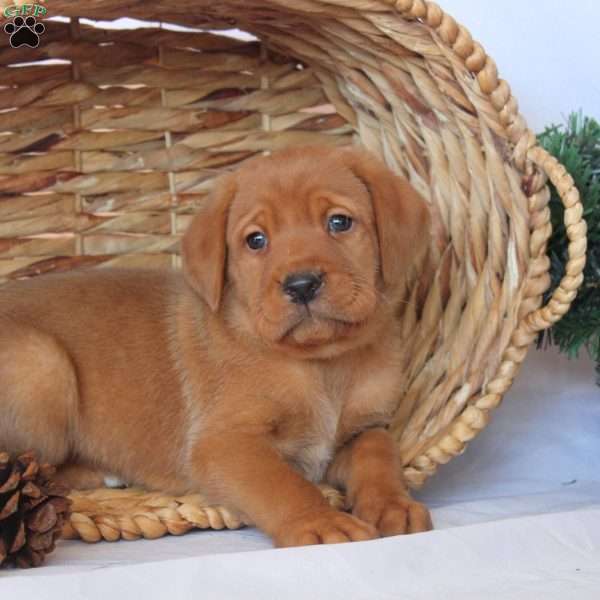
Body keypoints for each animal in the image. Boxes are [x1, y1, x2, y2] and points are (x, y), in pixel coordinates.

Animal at [0, 148, 432, 548]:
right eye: (256, 240)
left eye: (339, 222)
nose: (302, 284)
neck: (321, 365)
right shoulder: (225, 443)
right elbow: (281, 483)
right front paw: (321, 522)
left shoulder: (361, 430)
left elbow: (379, 454)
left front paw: (392, 506)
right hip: (42, 363)